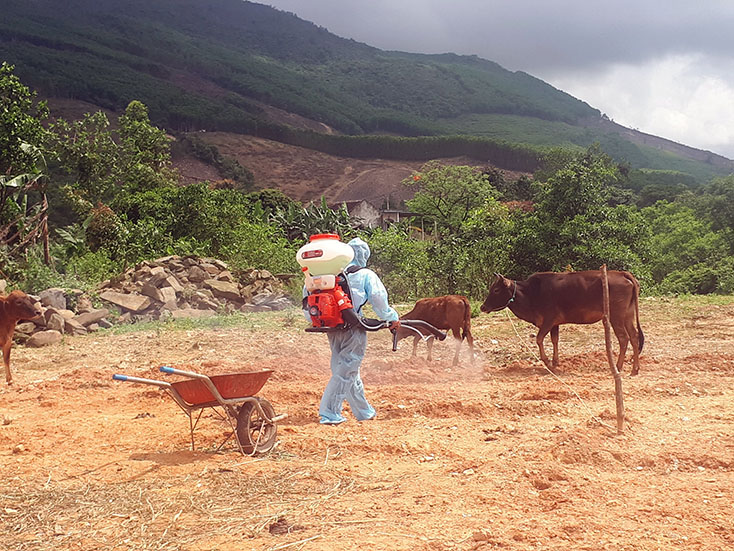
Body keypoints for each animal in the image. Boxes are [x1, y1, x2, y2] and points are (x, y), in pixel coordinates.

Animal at [484, 270, 644, 376]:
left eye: (496, 289)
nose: (482, 307)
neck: (531, 293)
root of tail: (622, 273)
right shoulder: (555, 324)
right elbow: (555, 340)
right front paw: (555, 363)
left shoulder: (548, 320)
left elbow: (539, 339)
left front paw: (548, 363)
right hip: (627, 315)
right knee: (634, 337)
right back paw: (634, 369)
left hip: (616, 316)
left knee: (624, 338)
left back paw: (618, 367)